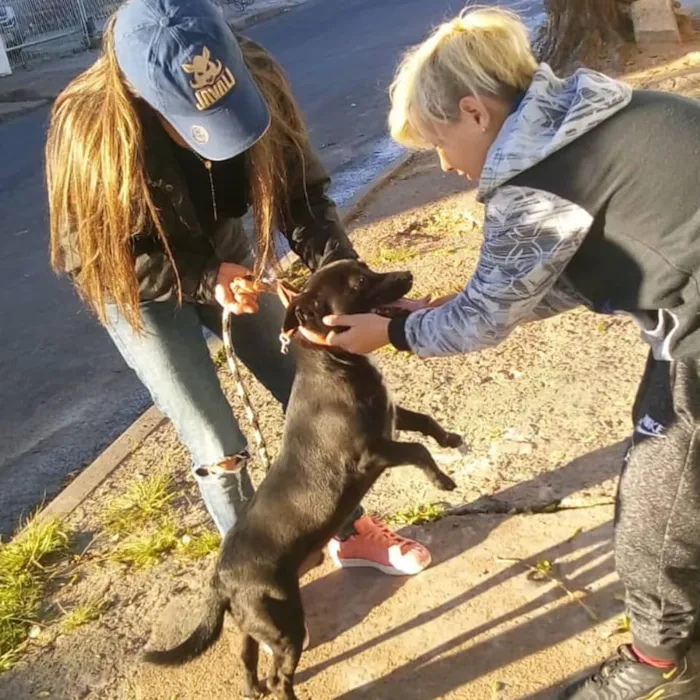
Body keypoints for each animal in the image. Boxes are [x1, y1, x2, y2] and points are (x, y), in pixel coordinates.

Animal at [144, 262, 462, 700]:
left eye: (365, 267)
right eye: (359, 282)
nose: (407, 275)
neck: (335, 362)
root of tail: (220, 579)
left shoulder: (391, 421)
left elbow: (426, 424)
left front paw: (450, 440)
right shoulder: (370, 454)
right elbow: (418, 451)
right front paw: (442, 480)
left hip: (255, 625)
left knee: (248, 657)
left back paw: (253, 688)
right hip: (284, 623)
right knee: (281, 676)